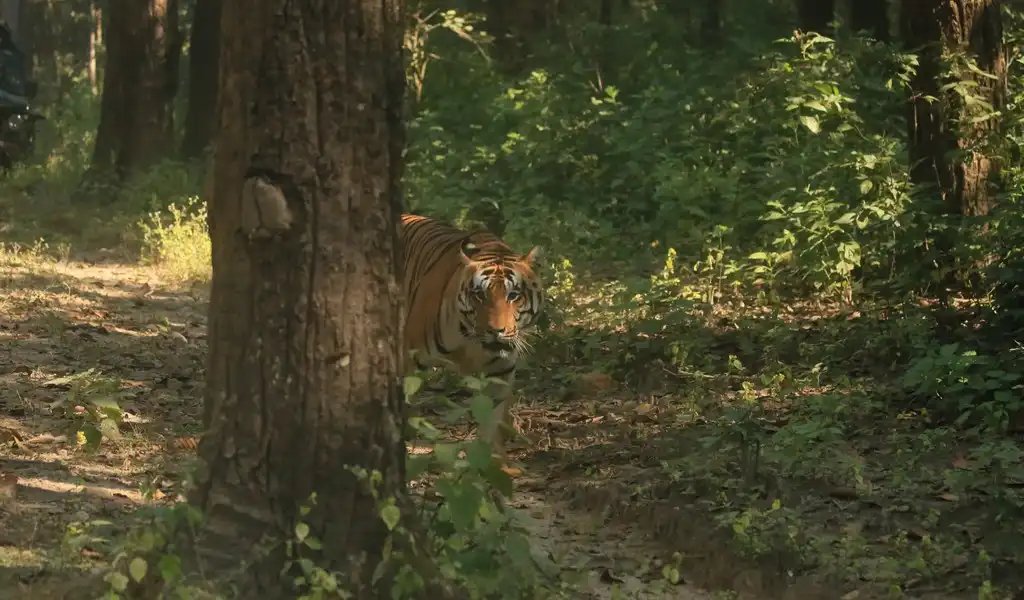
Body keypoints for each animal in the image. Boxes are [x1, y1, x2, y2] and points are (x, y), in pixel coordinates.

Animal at [400, 213, 544, 462]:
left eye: (513, 295)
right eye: (479, 294)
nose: (496, 330)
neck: (471, 340)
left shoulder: (500, 373)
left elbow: (491, 424)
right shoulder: (411, 358)